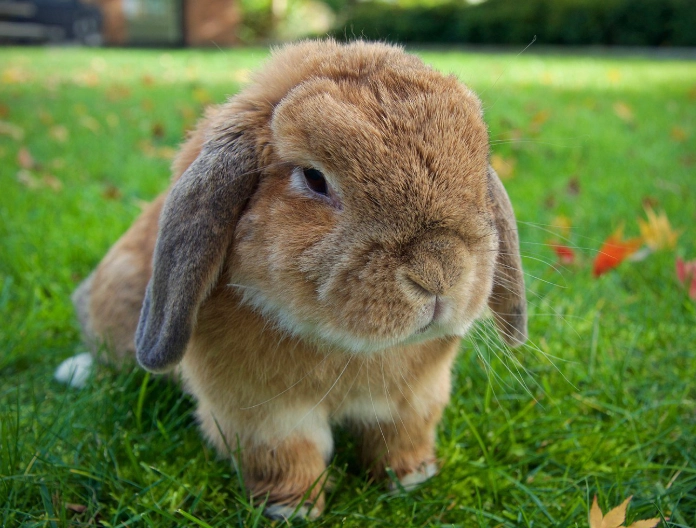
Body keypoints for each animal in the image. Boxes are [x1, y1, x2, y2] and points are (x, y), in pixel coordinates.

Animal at [68, 39, 527, 519]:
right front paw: (294, 508)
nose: (439, 272)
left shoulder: (415, 400)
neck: (348, 349)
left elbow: (402, 438)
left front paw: (412, 478)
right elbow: (289, 455)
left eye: (479, 166)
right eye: (314, 178)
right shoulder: (261, 414)